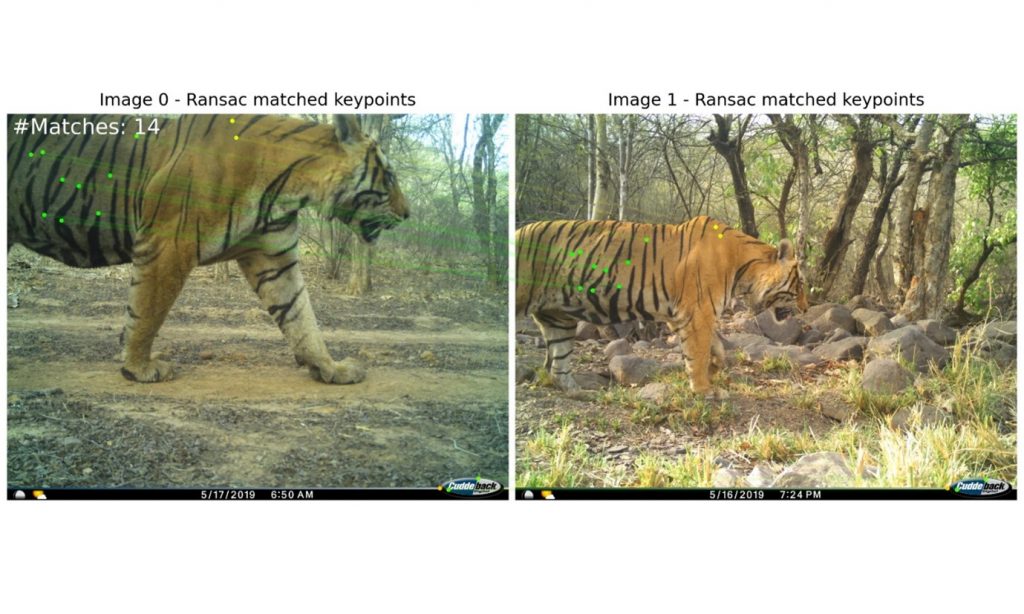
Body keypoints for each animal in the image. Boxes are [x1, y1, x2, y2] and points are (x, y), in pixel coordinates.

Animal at [7, 114, 409, 384]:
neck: (290, 189)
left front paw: (331, 368)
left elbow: (301, 317)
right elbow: (146, 311)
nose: (408, 214)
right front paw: (139, 368)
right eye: (389, 176)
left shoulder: (274, 257)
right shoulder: (167, 243)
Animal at [515, 216, 808, 395]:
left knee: (558, 366)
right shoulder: (697, 313)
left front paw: (714, 368)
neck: (744, 268)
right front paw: (704, 389)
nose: (806, 309)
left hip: (558, 318)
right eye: (800, 285)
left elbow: (715, 347)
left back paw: (580, 393)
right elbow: (698, 351)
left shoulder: (685, 315)